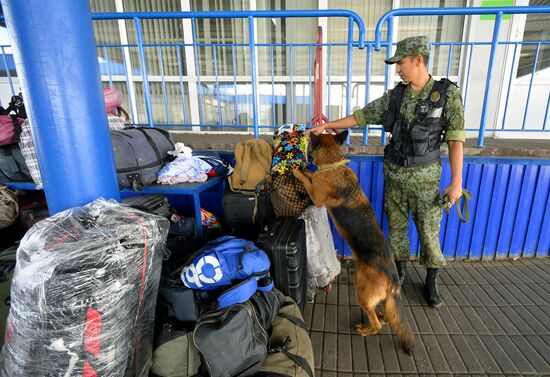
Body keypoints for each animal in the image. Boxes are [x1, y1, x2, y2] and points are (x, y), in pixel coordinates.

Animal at [294, 129, 414, 352]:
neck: (333, 165)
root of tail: (394, 280)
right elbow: (312, 176)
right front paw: (306, 172)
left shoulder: (317, 197)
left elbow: (309, 180)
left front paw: (299, 173)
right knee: (386, 317)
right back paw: (380, 318)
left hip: (362, 294)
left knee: (377, 323)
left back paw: (366, 330)